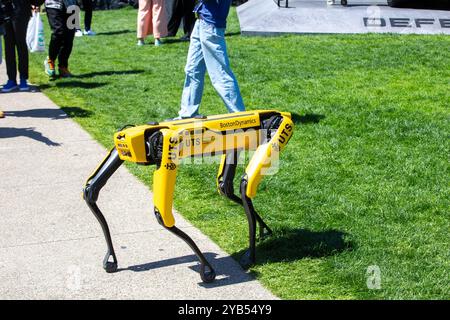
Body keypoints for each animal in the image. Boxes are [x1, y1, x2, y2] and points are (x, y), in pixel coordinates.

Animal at [83, 109, 296, 282]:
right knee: (227, 188)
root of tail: (283, 114)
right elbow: (90, 191)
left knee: (245, 184)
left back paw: (251, 253)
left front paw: (208, 269)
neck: (150, 140)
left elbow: (162, 216)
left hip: (276, 133)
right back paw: (261, 231)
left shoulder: (169, 150)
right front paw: (111, 258)